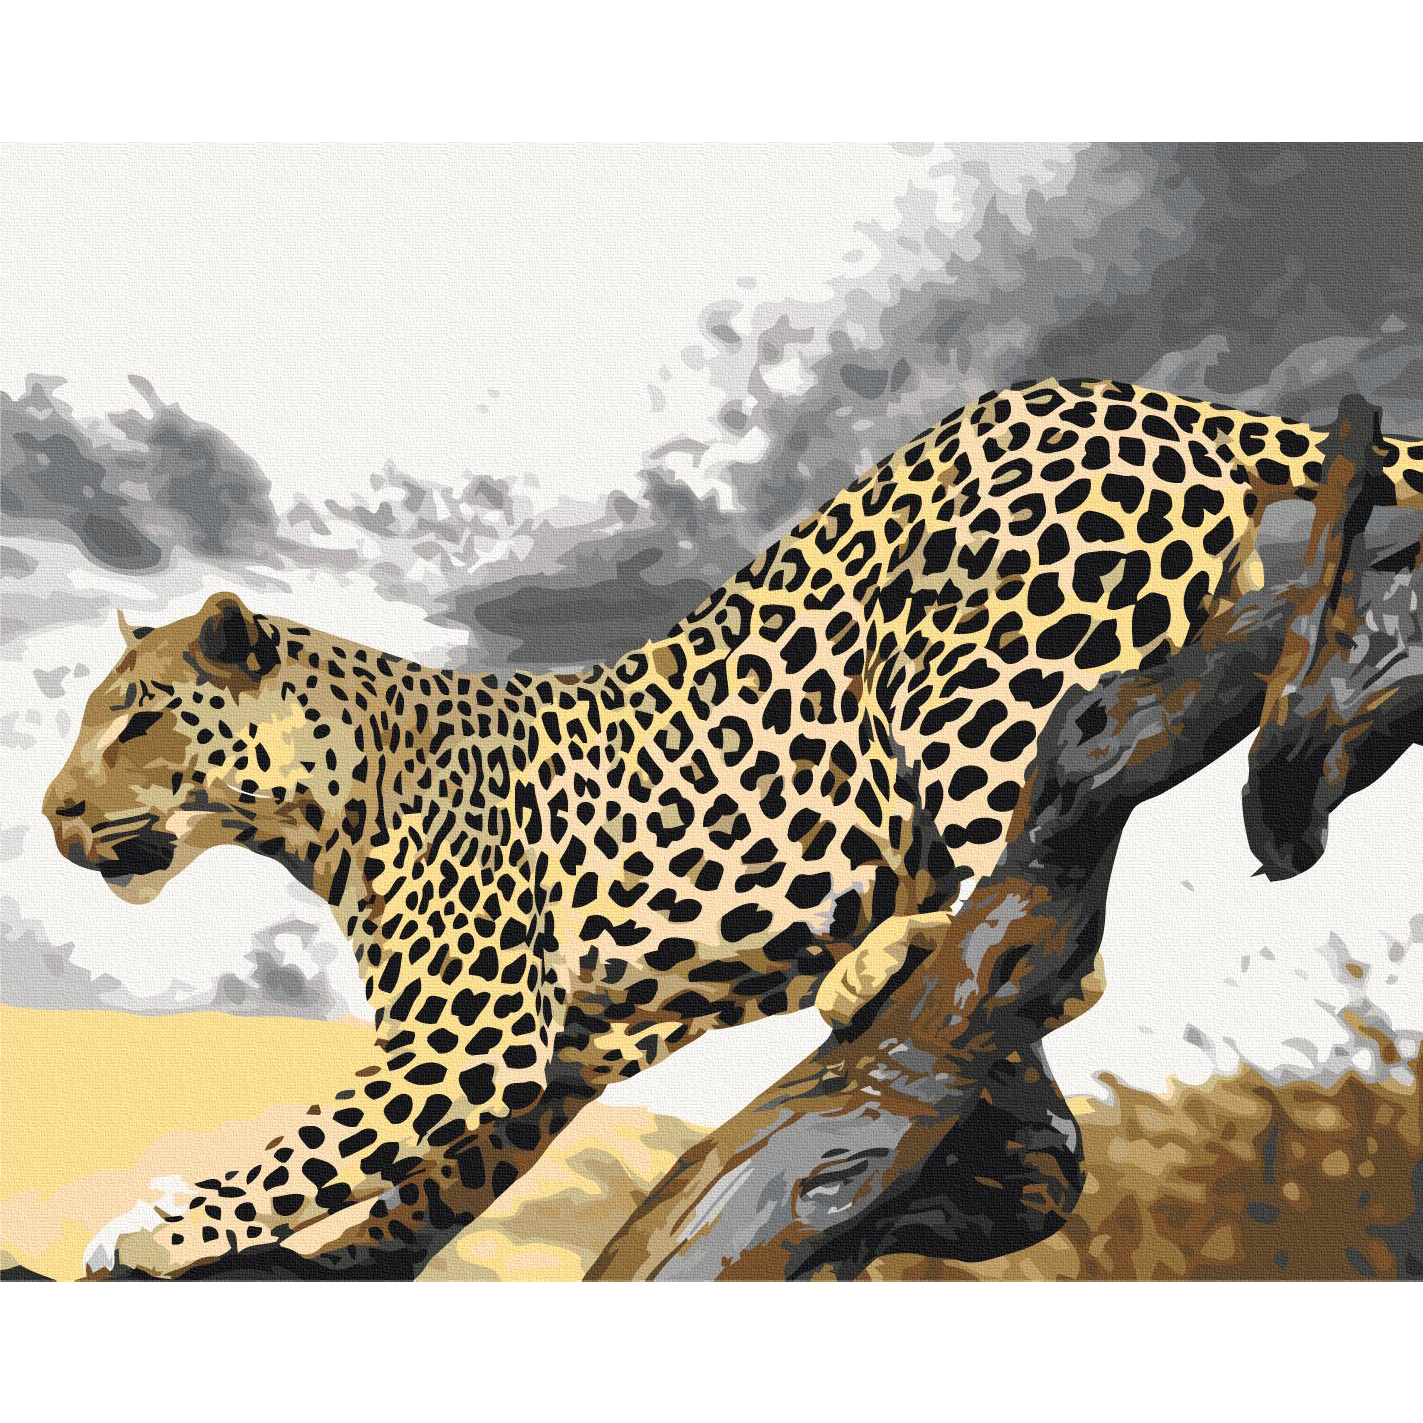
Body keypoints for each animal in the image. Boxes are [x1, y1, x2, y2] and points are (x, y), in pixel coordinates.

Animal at [43, 376, 1423, 1280]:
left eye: (139, 718)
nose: (53, 815)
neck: (322, 804)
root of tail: (1148, 396)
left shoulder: (468, 1035)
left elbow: (311, 1141)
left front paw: (162, 1228)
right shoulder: (550, 1057)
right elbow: (417, 1180)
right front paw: (340, 1259)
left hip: (976, 677)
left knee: (1050, 922)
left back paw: (881, 958)